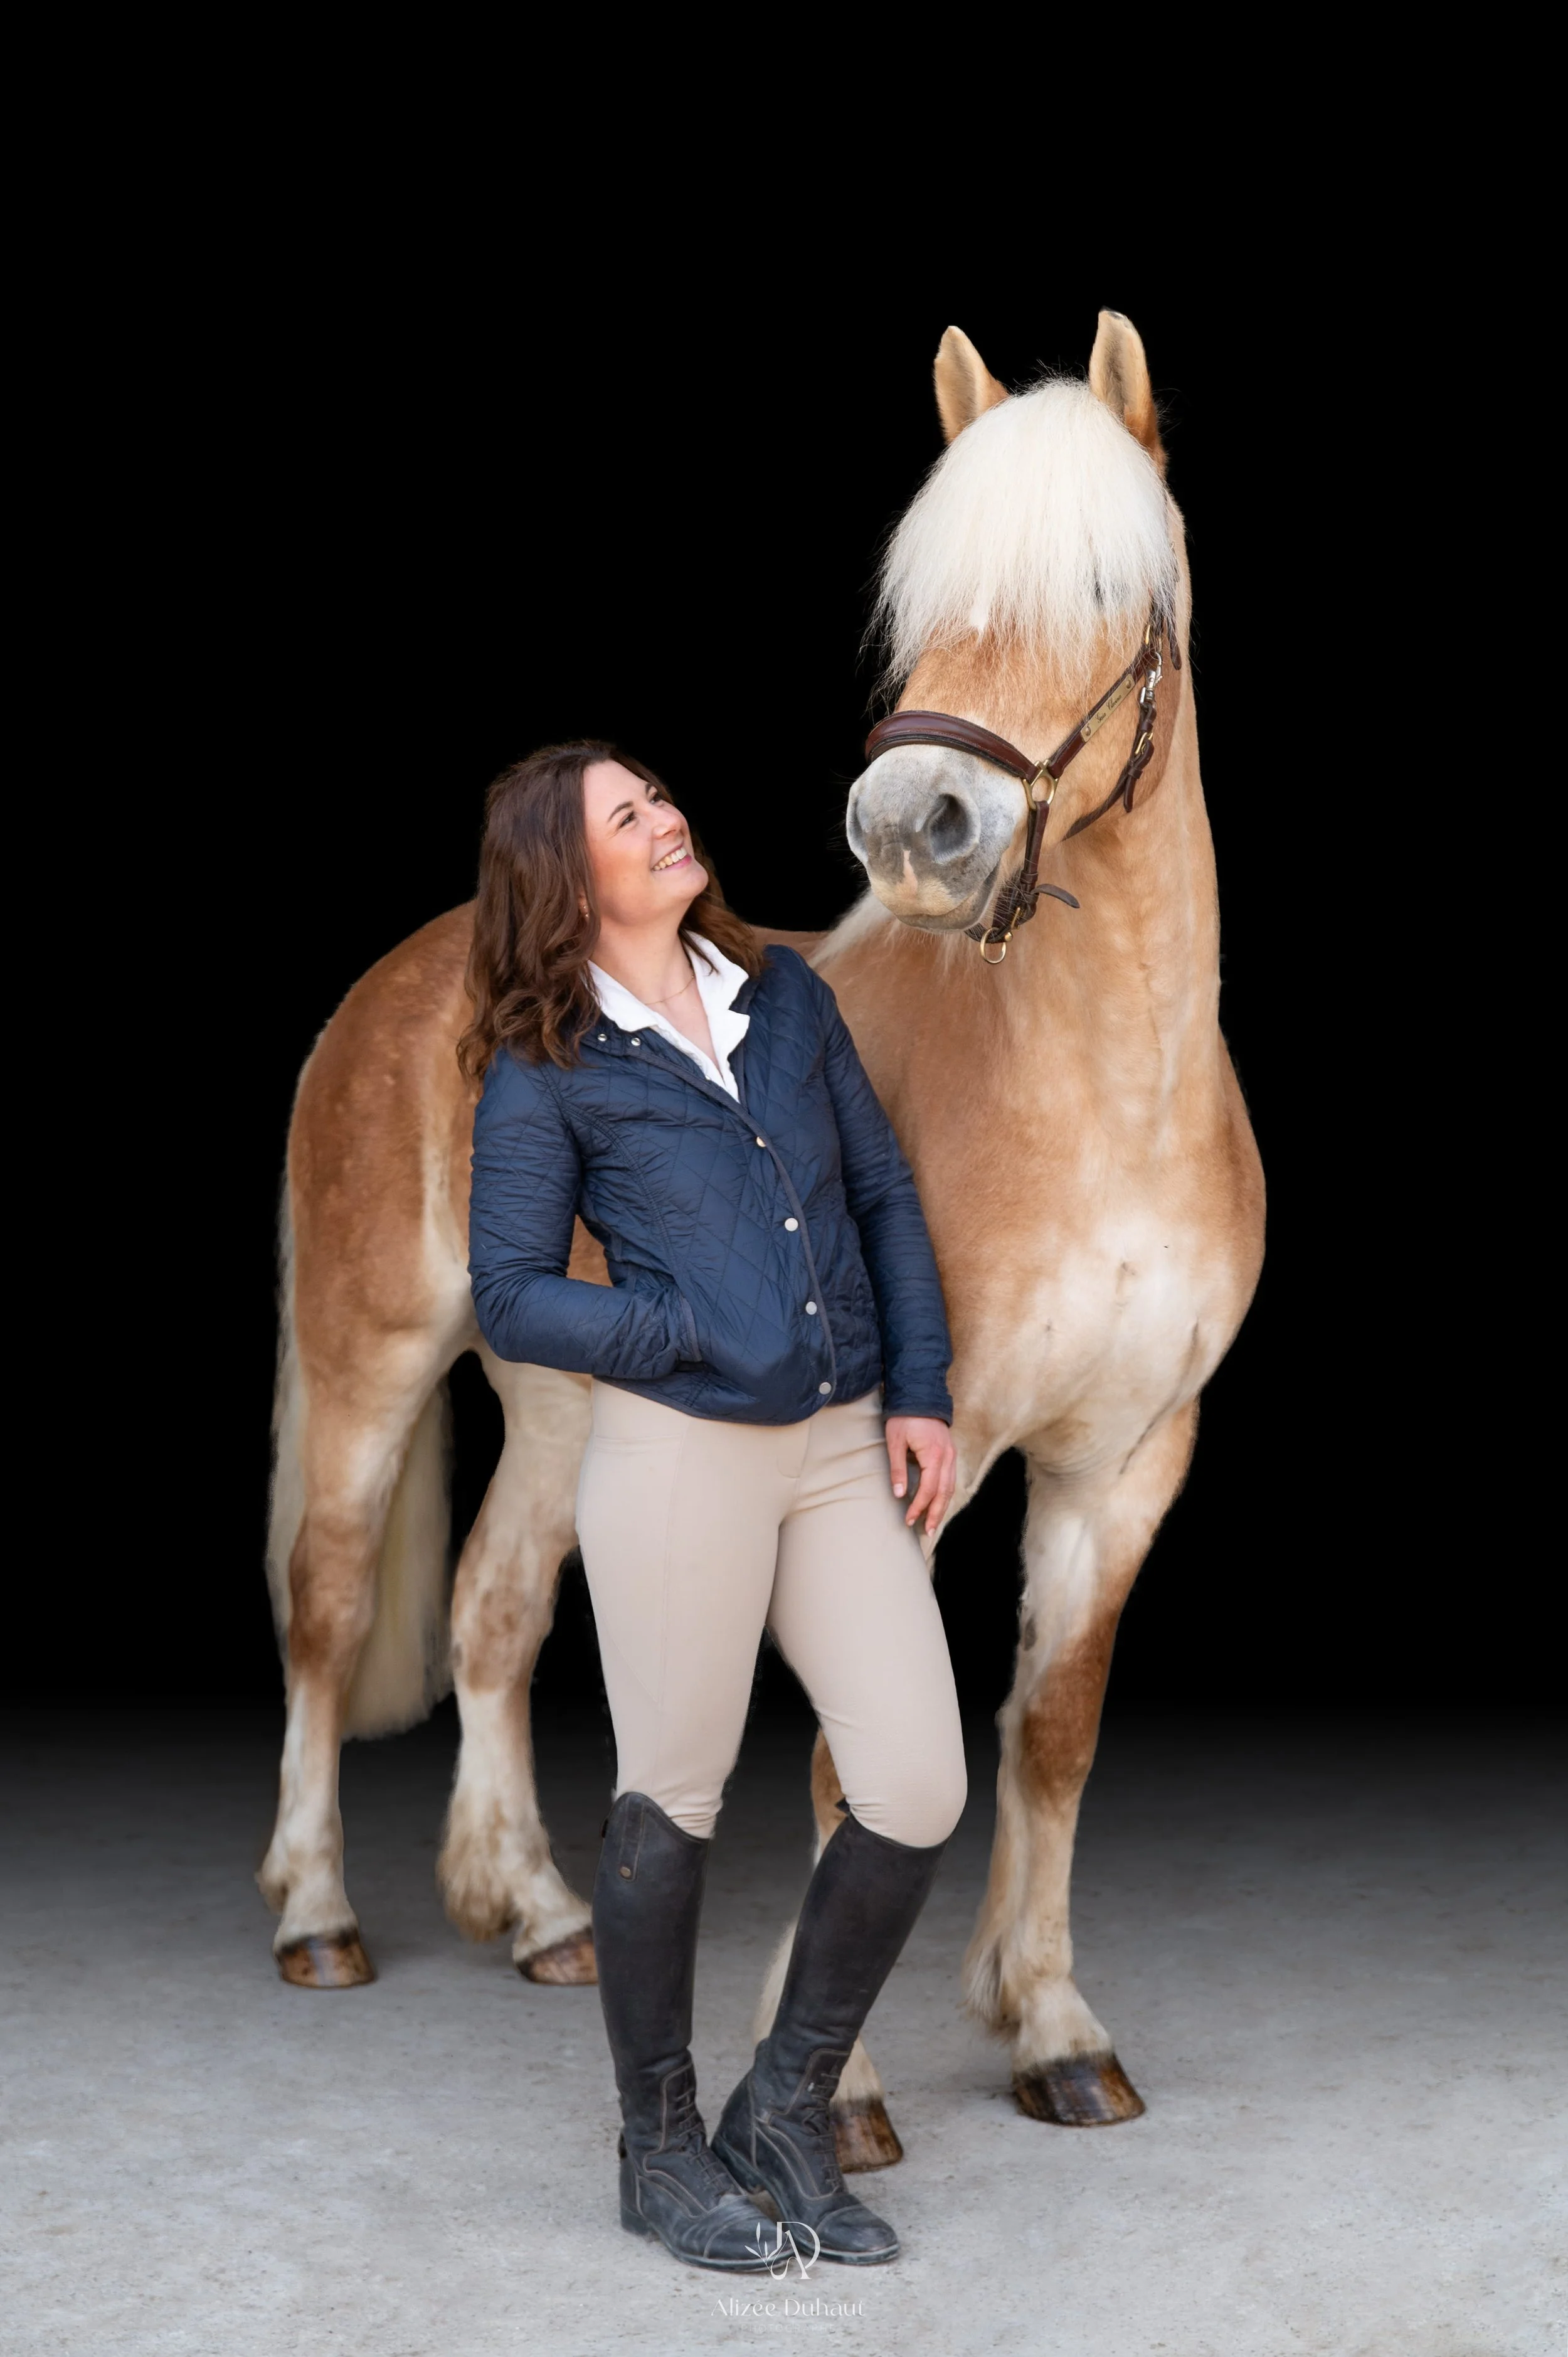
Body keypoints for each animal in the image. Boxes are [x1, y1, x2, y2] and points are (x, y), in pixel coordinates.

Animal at [259, 309, 1264, 2153]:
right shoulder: (903, 1457)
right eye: (923, 593)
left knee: (493, 1610)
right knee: (327, 1602)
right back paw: (317, 1915)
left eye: (1109, 592)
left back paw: (540, 1911)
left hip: (565, 1397)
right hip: (369, 1360)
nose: (918, 824)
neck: (1105, 1101)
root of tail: (416, 966)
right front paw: (841, 2090)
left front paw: (1051, 2026)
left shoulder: (1127, 1459)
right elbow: (855, 1752)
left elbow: (1049, 1733)